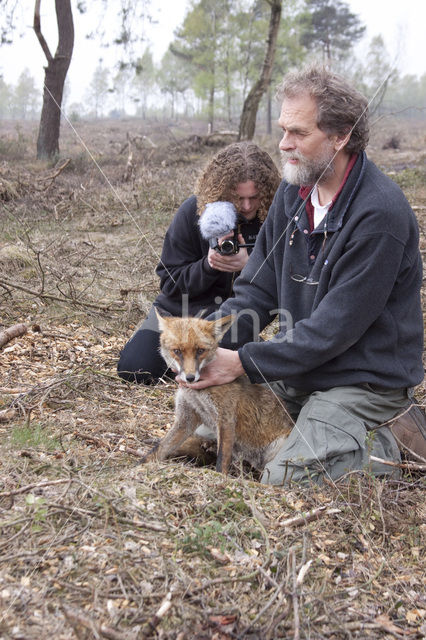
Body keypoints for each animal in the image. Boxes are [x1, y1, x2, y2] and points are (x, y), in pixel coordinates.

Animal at [141, 310, 294, 476]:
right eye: (177, 351)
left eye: (200, 351)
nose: (190, 378)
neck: (197, 394)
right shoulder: (186, 419)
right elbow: (159, 449)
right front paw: (138, 467)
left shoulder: (226, 419)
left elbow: (222, 461)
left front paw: (220, 479)